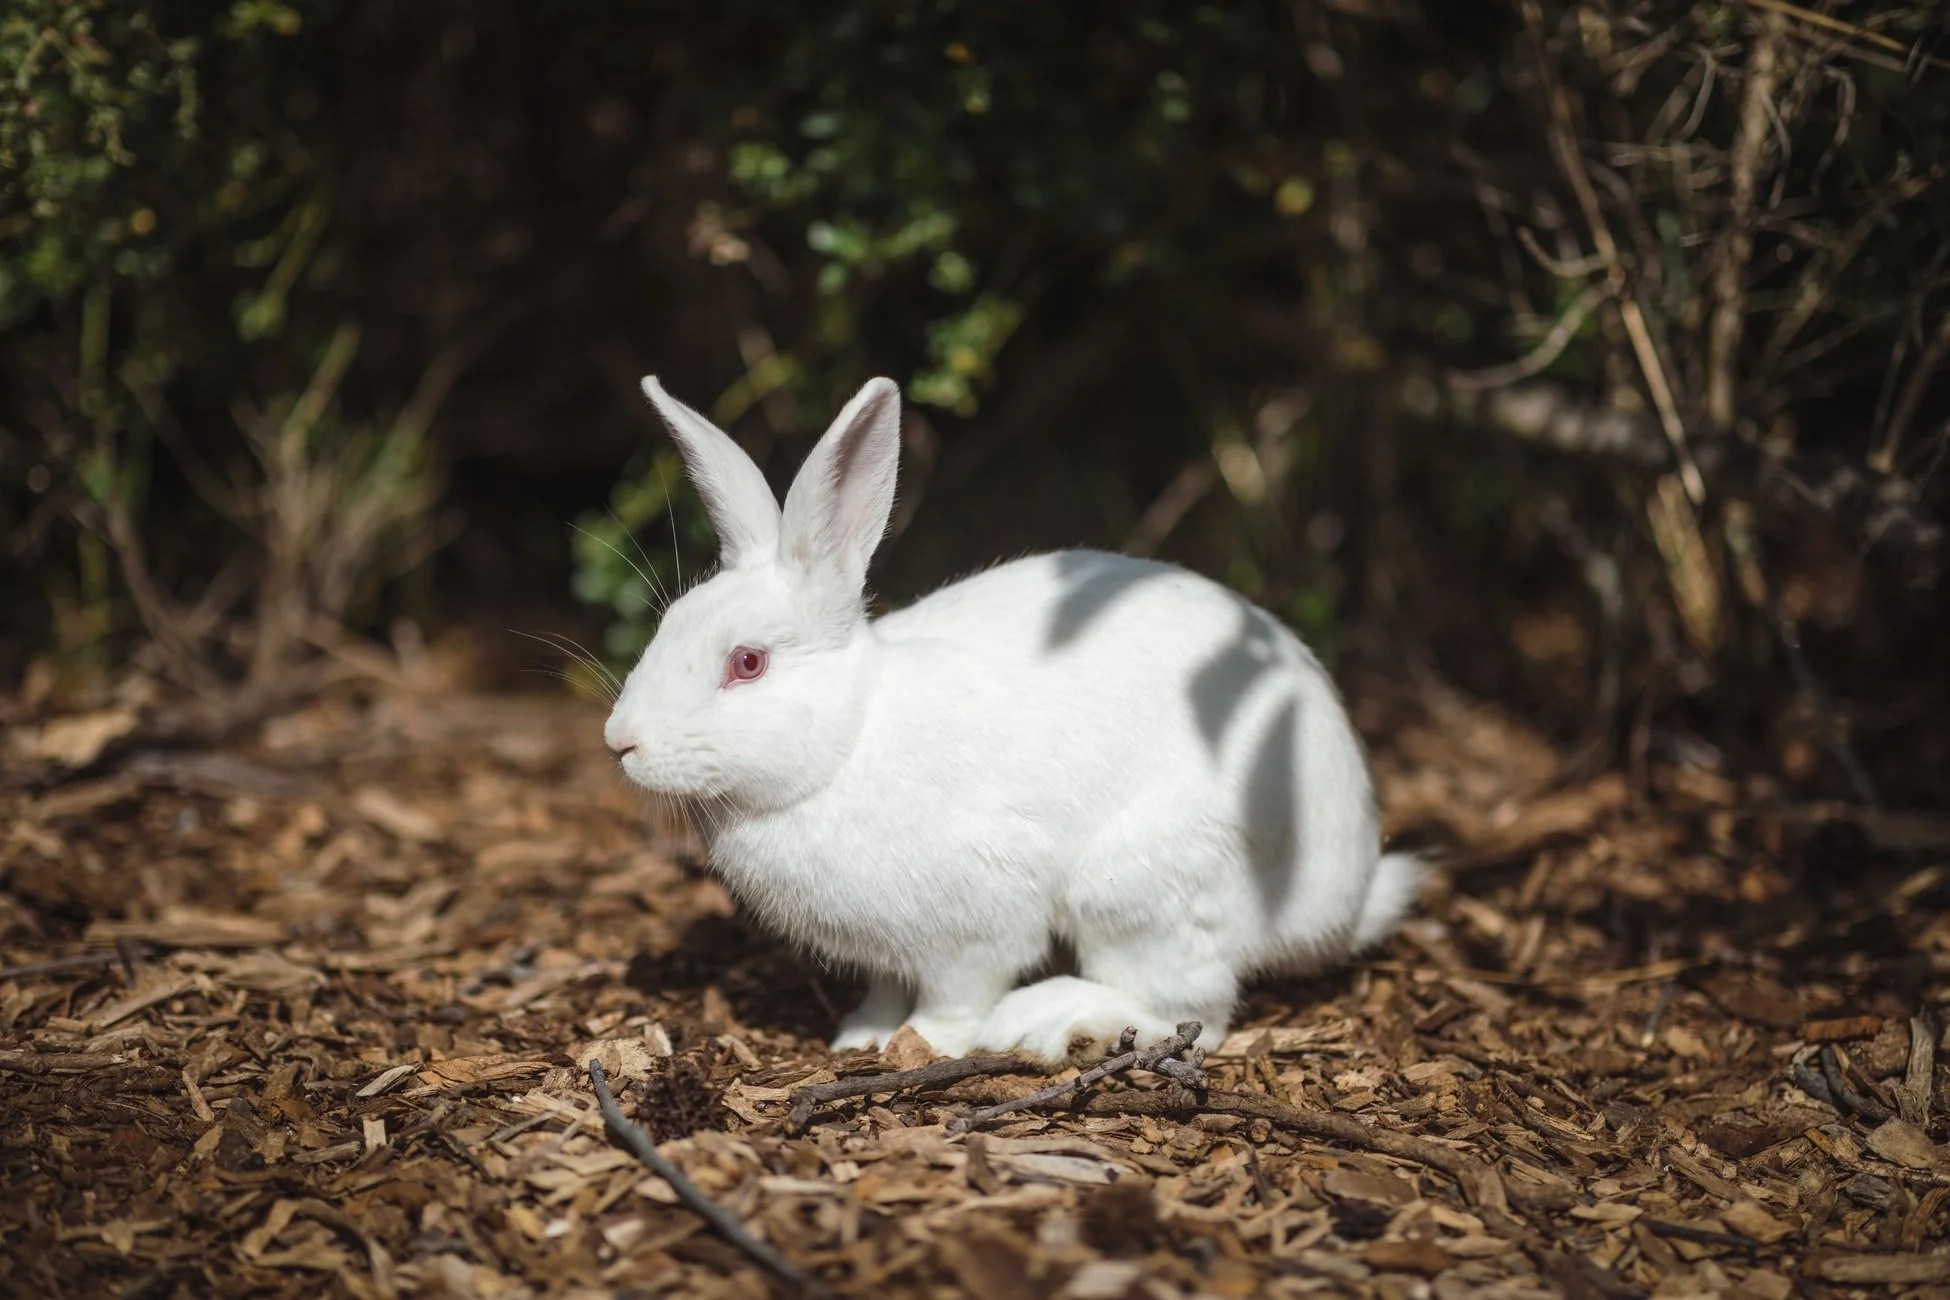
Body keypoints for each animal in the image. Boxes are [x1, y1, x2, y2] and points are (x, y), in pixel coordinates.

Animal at [604, 374, 1421, 1065]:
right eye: (669, 623)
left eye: (747, 663)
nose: (620, 743)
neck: (847, 743)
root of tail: (1343, 899)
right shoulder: (885, 955)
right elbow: (884, 990)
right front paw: (859, 1036)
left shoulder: (976, 927)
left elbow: (955, 997)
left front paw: (922, 1043)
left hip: (1141, 892)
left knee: (1192, 1013)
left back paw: (1045, 1019)